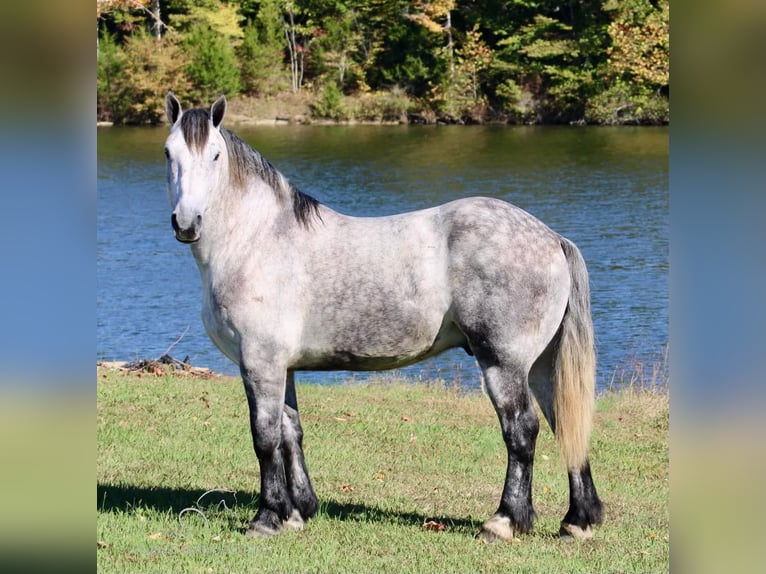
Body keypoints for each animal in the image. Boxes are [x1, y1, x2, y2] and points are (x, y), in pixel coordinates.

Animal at [164, 91, 608, 544]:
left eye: (215, 155)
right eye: (169, 152)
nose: (187, 223)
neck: (259, 239)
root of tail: (552, 238)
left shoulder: (259, 362)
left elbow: (264, 437)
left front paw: (267, 517)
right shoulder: (282, 366)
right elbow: (291, 433)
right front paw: (298, 511)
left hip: (504, 363)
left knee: (521, 430)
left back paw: (504, 520)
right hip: (540, 365)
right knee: (565, 425)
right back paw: (578, 520)